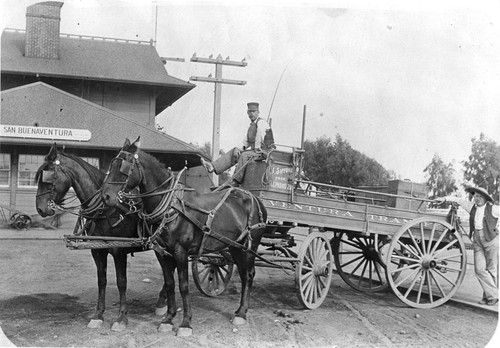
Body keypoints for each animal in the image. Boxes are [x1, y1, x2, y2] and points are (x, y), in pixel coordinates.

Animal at [35, 144, 169, 332]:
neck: (107, 210)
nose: (40, 209)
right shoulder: (97, 251)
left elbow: (121, 282)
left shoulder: (119, 251)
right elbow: (102, 281)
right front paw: (98, 315)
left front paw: (121, 318)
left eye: (47, 177)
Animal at [99, 139, 268, 338]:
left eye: (124, 167)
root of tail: (253, 198)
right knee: (242, 273)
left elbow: (184, 286)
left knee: (248, 274)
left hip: (250, 245)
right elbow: (170, 283)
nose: (105, 196)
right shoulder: (162, 253)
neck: (171, 207)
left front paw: (186, 323)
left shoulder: (180, 251)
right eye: (111, 164)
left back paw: (241, 313)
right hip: (235, 246)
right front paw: (168, 318)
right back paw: (241, 310)